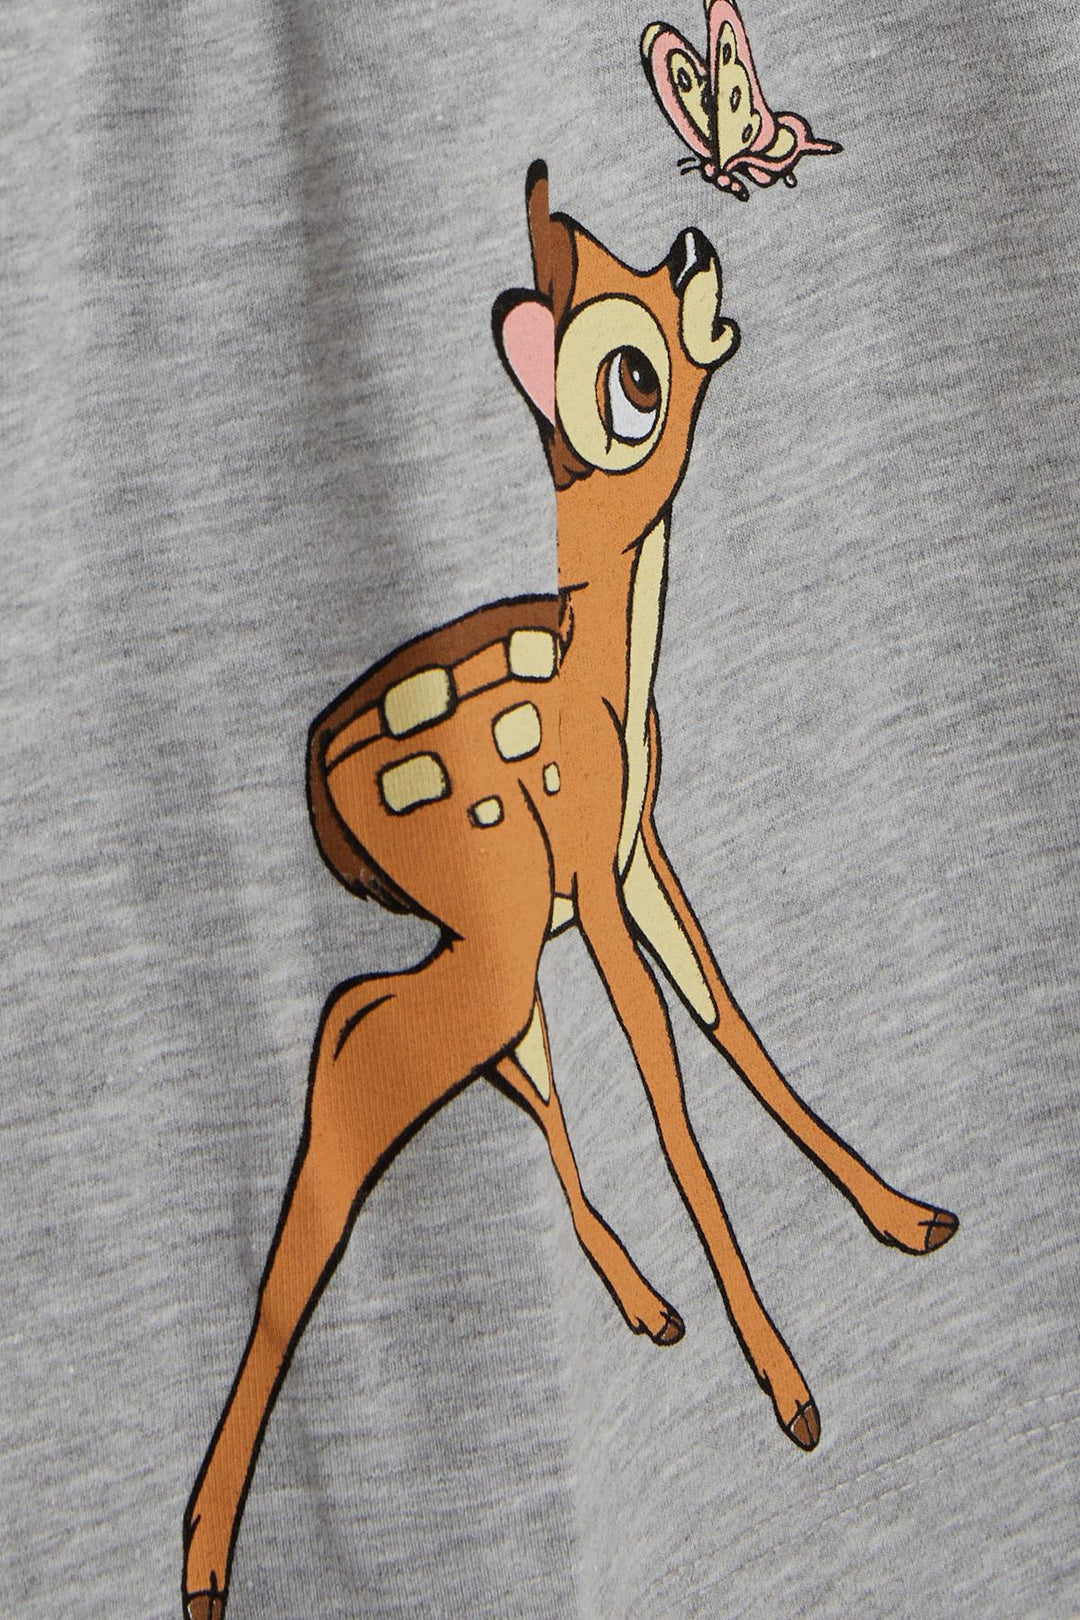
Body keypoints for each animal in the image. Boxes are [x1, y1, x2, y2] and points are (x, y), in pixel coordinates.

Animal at [182, 161, 958, 1619]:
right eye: (629, 377)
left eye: (643, 260)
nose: (698, 238)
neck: (610, 666)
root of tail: (315, 782)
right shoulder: (588, 880)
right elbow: (669, 1089)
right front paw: (790, 1389)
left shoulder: (636, 857)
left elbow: (727, 1022)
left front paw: (903, 1216)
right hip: (490, 934)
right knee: (361, 1057)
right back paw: (205, 1554)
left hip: (488, 943)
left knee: (425, 1036)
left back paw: (647, 1306)